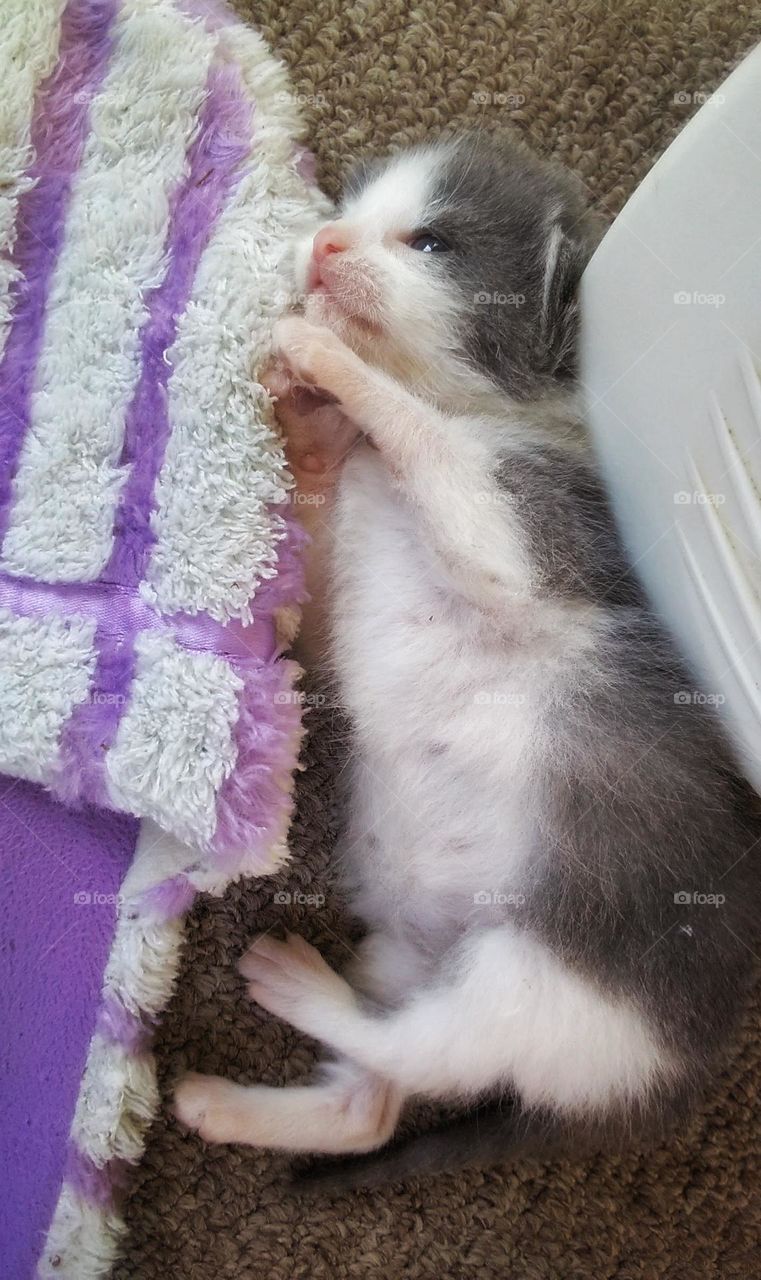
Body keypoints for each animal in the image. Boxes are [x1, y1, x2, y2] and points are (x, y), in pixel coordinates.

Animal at [175, 137, 761, 1187]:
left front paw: (325, 358)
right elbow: (314, 587)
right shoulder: (340, 583)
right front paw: (310, 428)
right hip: (414, 959)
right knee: (373, 1101)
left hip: (542, 983)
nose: (324, 243)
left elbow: (429, 439)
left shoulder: (529, 526)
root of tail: (662, 1082)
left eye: (431, 243)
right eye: (350, 211)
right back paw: (224, 1100)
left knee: (418, 1051)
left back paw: (292, 983)